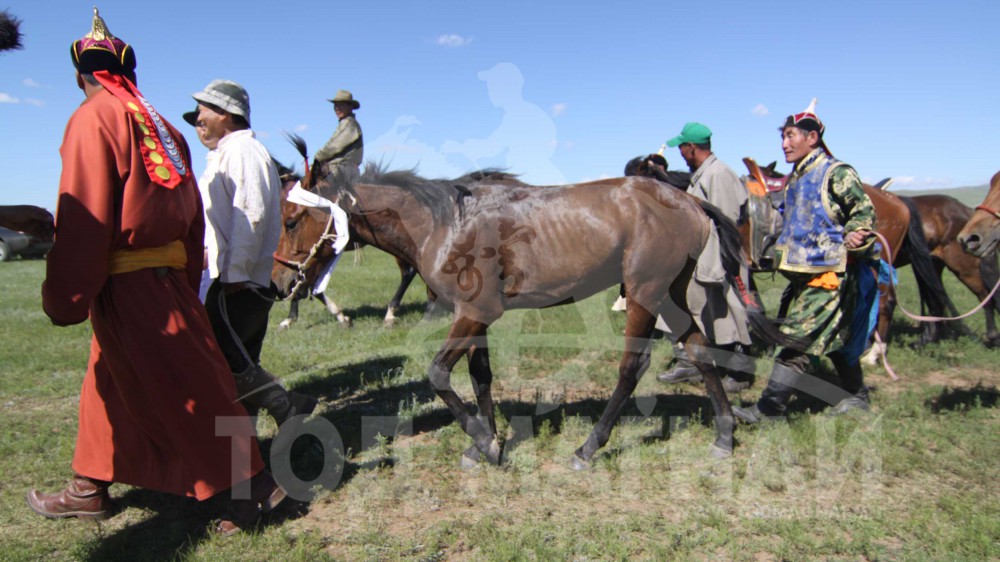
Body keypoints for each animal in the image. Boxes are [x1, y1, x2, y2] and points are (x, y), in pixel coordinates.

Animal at [292, 142, 796, 466]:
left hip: (644, 293)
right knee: (698, 348)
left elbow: (437, 373)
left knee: (632, 367)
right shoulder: (476, 316)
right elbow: (480, 376)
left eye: (294, 216)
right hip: (670, 294)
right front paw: (486, 443)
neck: (444, 222)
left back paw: (589, 447)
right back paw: (725, 434)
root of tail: (688, 202)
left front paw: (483, 440)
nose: (291, 280)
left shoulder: (472, 313)